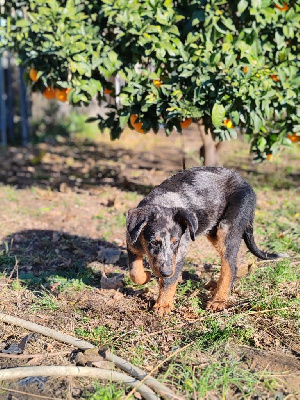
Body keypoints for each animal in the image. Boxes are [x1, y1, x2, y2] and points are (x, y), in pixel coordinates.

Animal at [126, 166, 284, 316]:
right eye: (153, 242)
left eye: (175, 242)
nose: (165, 272)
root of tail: (246, 184)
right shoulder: (131, 245)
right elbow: (135, 273)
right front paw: (146, 276)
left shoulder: (179, 253)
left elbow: (169, 282)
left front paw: (163, 305)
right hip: (214, 232)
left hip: (227, 230)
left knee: (230, 267)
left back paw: (218, 300)